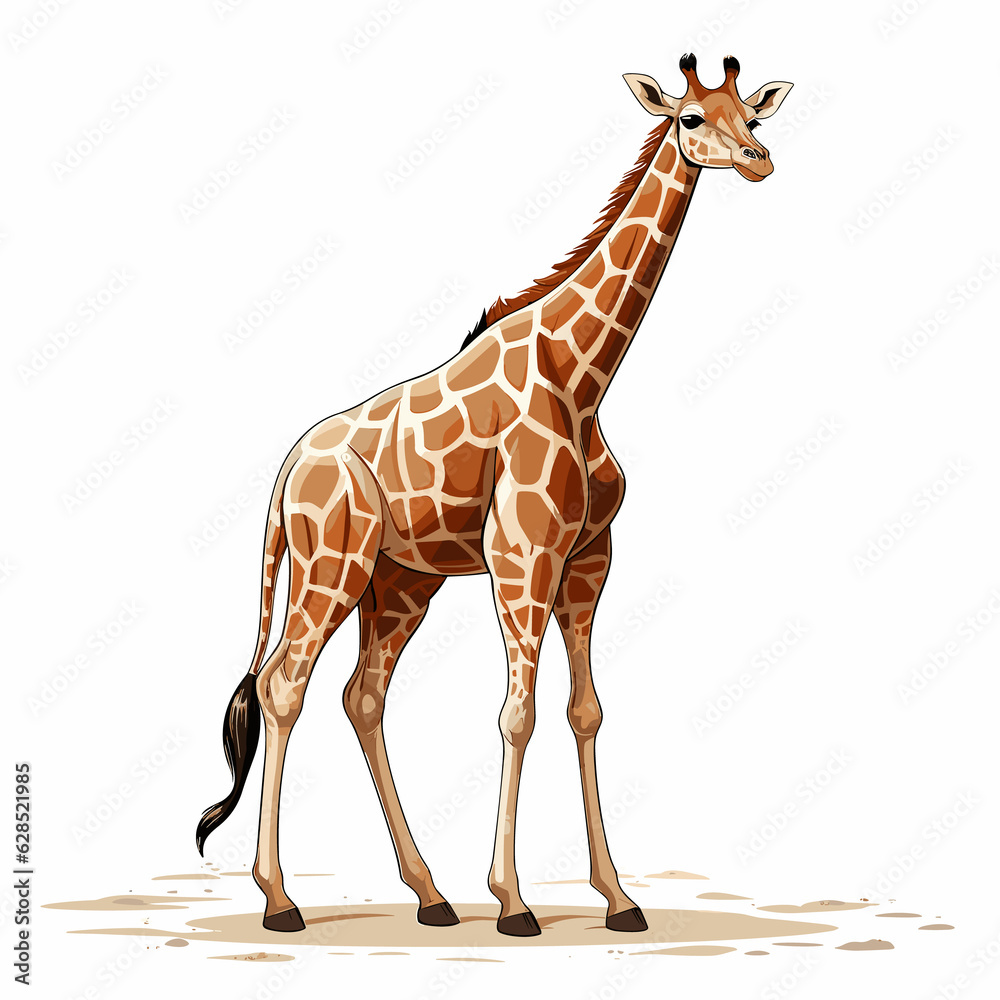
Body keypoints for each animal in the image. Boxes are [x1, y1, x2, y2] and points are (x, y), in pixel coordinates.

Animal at [196, 54, 792, 937]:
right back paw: (280, 900)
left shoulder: (588, 558)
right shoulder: (521, 555)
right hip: (331, 564)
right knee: (283, 686)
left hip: (399, 581)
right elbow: (519, 713)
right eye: (690, 117)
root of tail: (284, 475)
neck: (582, 374)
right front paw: (514, 901)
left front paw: (618, 898)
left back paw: (430, 894)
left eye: (752, 115)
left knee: (361, 697)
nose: (758, 161)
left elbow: (585, 711)